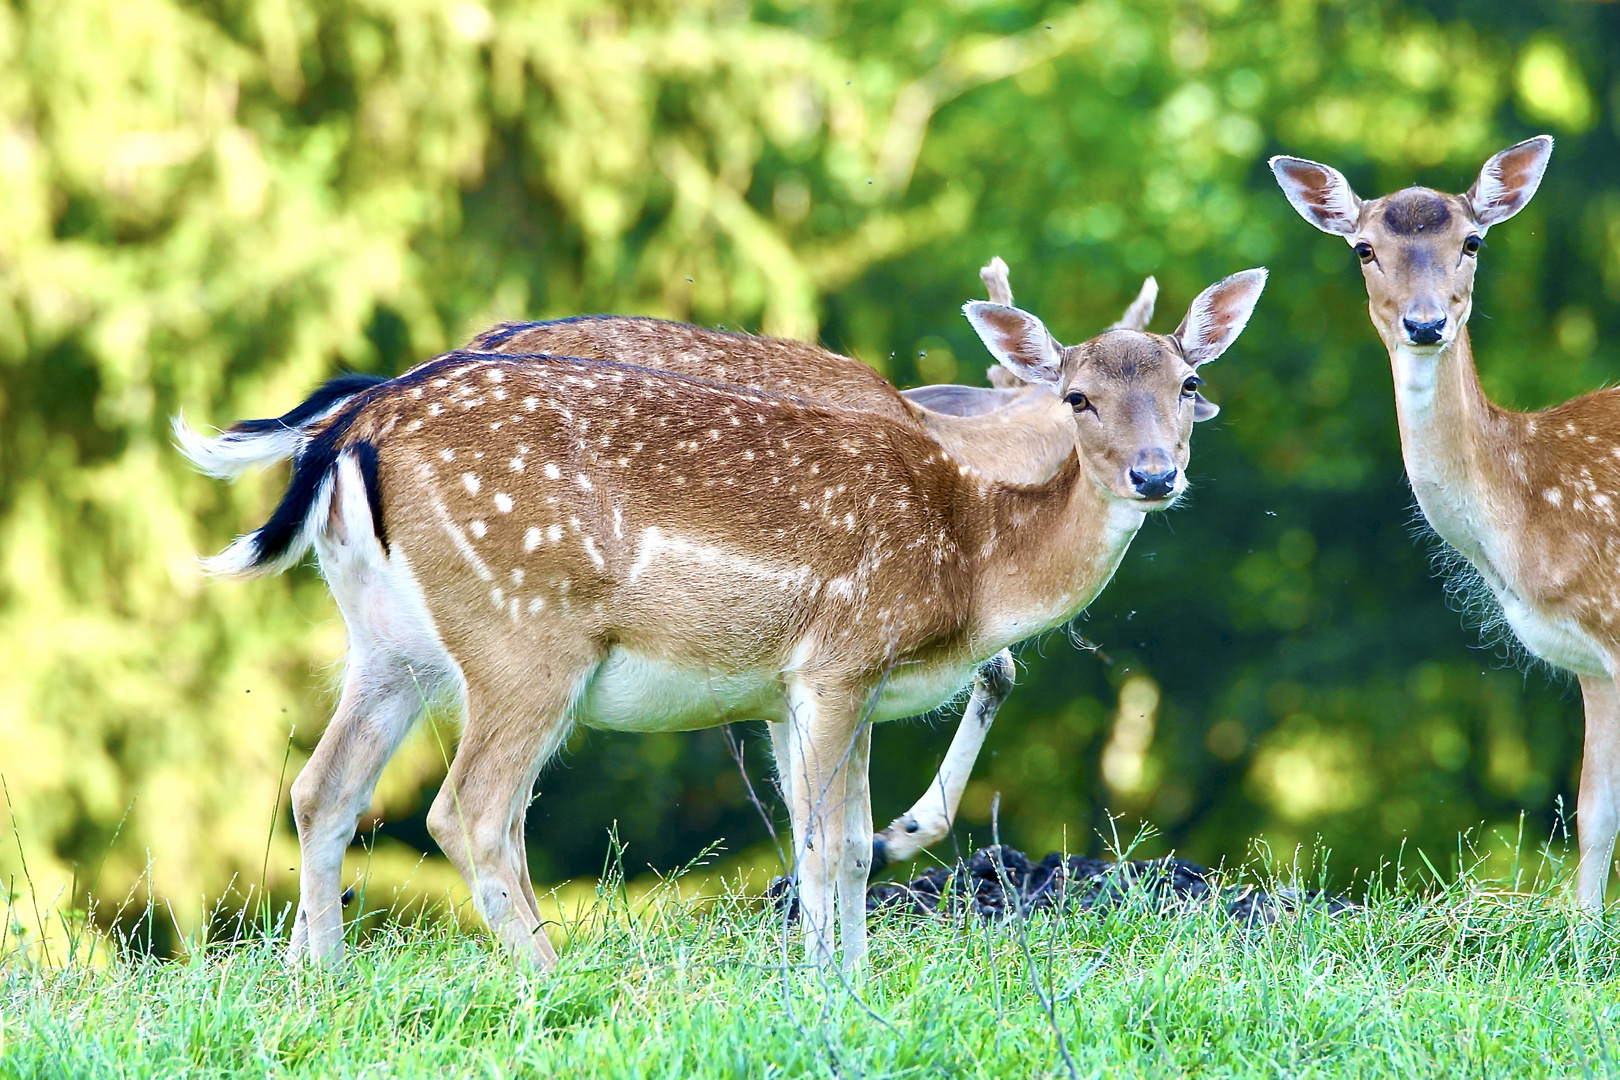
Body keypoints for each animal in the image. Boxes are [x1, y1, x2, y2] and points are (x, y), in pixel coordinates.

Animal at [1270, 135, 1620, 913]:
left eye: (1472, 240)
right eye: (1363, 247)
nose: (1426, 323)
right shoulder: (1591, 660)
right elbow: (1593, 809)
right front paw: (1582, 927)